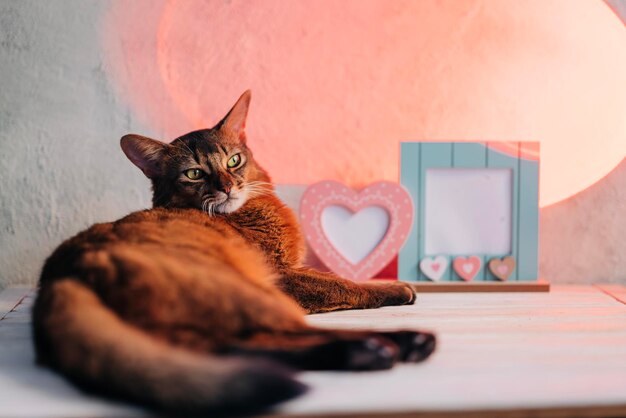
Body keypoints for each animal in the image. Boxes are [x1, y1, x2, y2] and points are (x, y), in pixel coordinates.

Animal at [33, 90, 434, 414]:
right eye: (194, 174)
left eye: (233, 161)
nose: (227, 186)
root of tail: (65, 270)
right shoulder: (282, 276)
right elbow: (341, 283)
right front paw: (395, 288)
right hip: (250, 291)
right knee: (270, 335)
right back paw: (391, 343)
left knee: (222, 348)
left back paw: (373, 351)